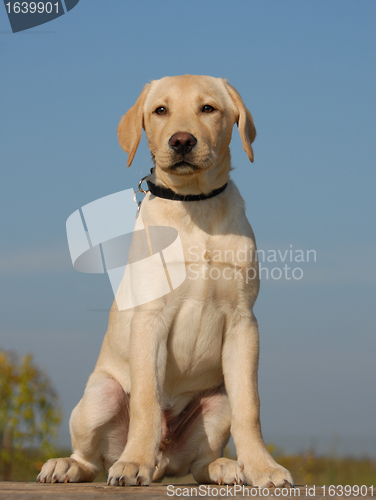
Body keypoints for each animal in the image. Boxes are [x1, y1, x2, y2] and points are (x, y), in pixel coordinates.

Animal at [38, 76, 294, 486]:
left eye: (208, 108)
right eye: (161, 110)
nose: (182, 141)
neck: (194, 204)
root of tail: (164, 459)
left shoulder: (243, 322)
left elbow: (250, 407)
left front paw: (261, 467)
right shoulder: (150, 318)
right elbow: (146, 400)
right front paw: (133, 462)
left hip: (216, 399)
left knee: (200, 460)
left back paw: (224, 466)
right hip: (100, 394)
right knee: (91, 457)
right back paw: (72, 465)